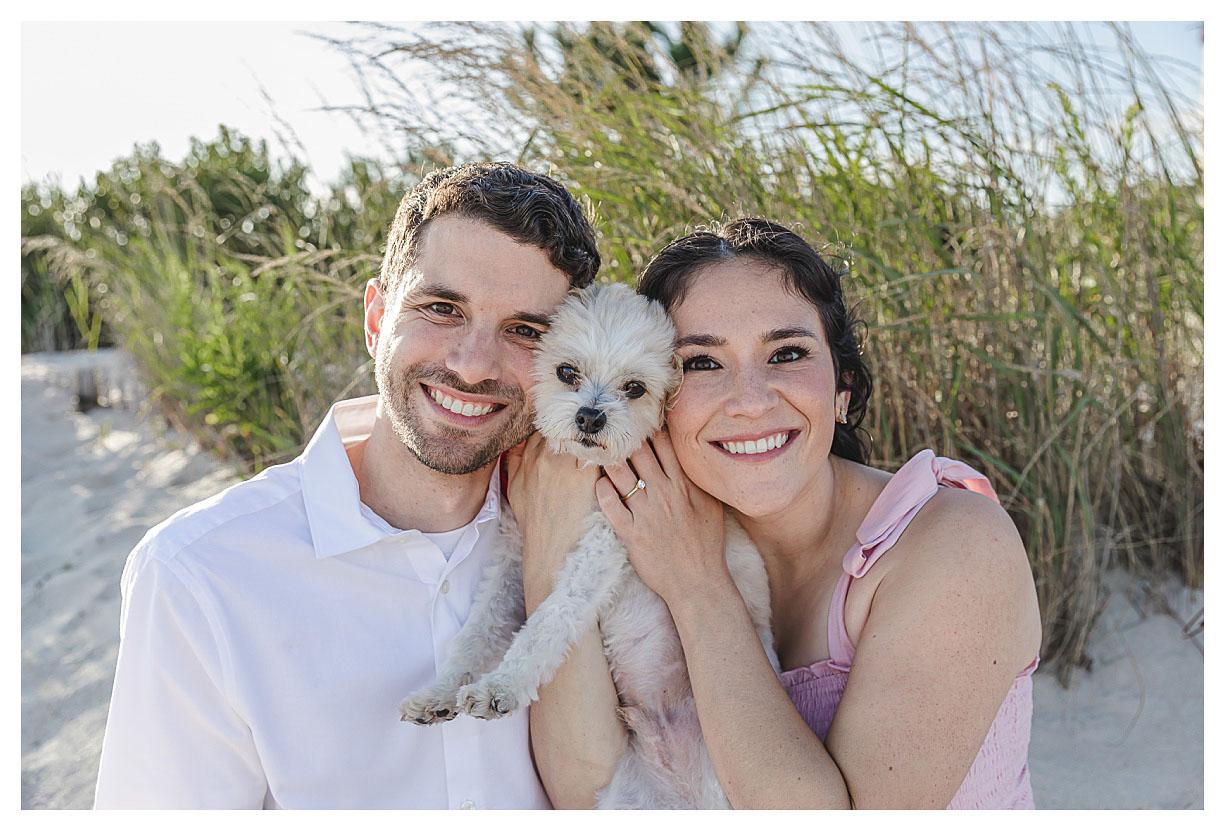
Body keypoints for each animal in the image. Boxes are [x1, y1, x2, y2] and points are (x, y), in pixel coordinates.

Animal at [396, 283, 779, 808]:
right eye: (566, 372)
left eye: (635, 388)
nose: (590, 416)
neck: (584, 468)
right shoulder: (513, 556)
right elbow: (478, 632)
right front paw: (439, 692)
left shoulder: (602, 549)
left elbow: (547, 621)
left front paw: (504, 685)